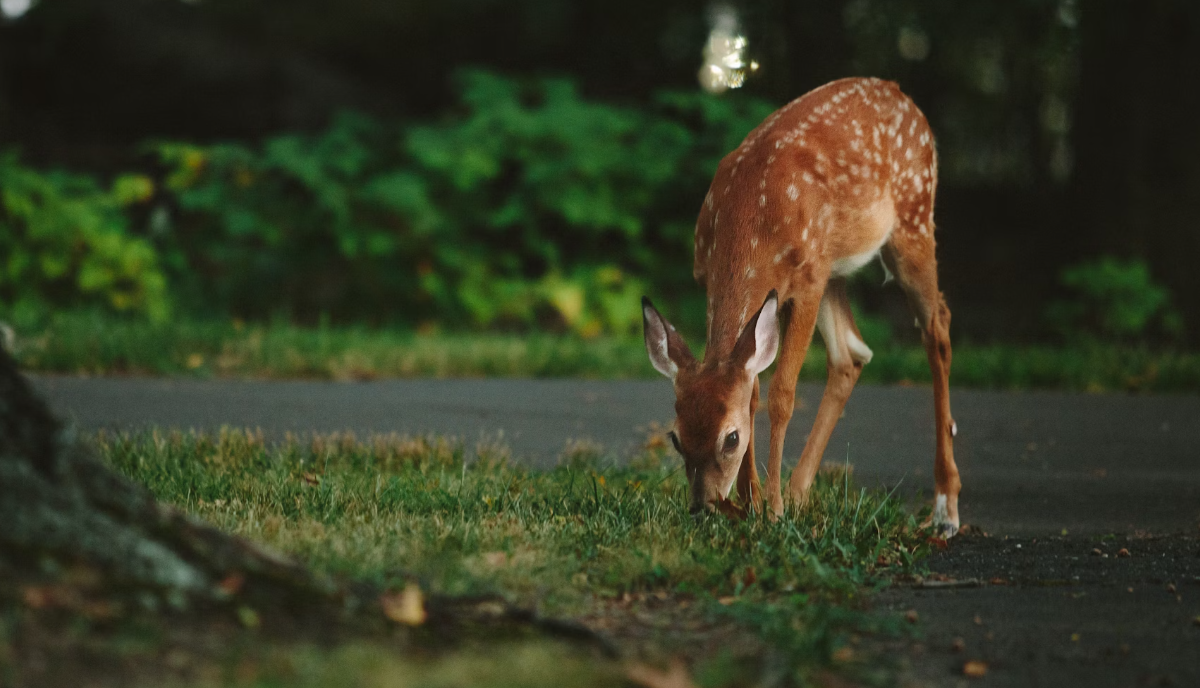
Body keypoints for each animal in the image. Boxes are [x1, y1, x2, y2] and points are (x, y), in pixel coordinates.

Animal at [642, 77, 961, 537]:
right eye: (676, 437)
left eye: (731, 438)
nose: (703, 507)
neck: (751, 221)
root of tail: (901, 94)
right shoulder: (718, 280)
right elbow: (752, 389)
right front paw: (752, 503)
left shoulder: (807, 281)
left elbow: (781, 395)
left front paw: (770, 509)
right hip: (836, 267)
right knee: (851, 354)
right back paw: (799, 493)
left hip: (912, 220)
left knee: (937, 328)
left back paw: (945, 508)